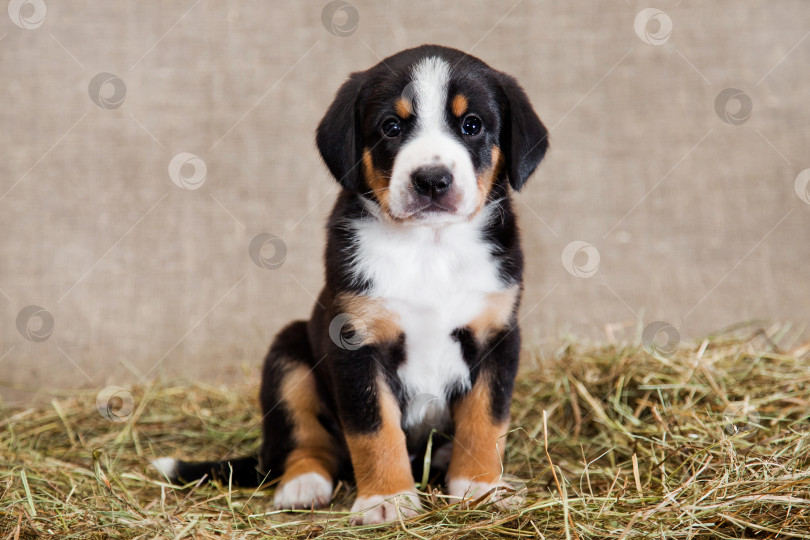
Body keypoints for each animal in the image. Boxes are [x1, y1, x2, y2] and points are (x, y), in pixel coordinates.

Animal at [152, 44, 548, 524]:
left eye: (471, 125)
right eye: (391, 126)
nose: (432, 180)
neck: (430, 248)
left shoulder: (496, 335)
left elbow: (485, 421)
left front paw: (480, 487)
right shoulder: (355, 343)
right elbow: (374, 430)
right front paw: (386, 500)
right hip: (289, 357)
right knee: (305, 444)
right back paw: (302, 485)